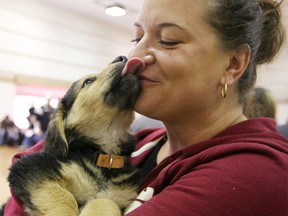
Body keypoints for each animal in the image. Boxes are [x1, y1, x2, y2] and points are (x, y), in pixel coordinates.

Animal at [7, 56, 144, 216]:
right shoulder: (29, 167)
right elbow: (65, 199)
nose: (123, 57)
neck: (105, 159)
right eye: (88, 81)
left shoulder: (120, 196)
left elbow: (104, 201)